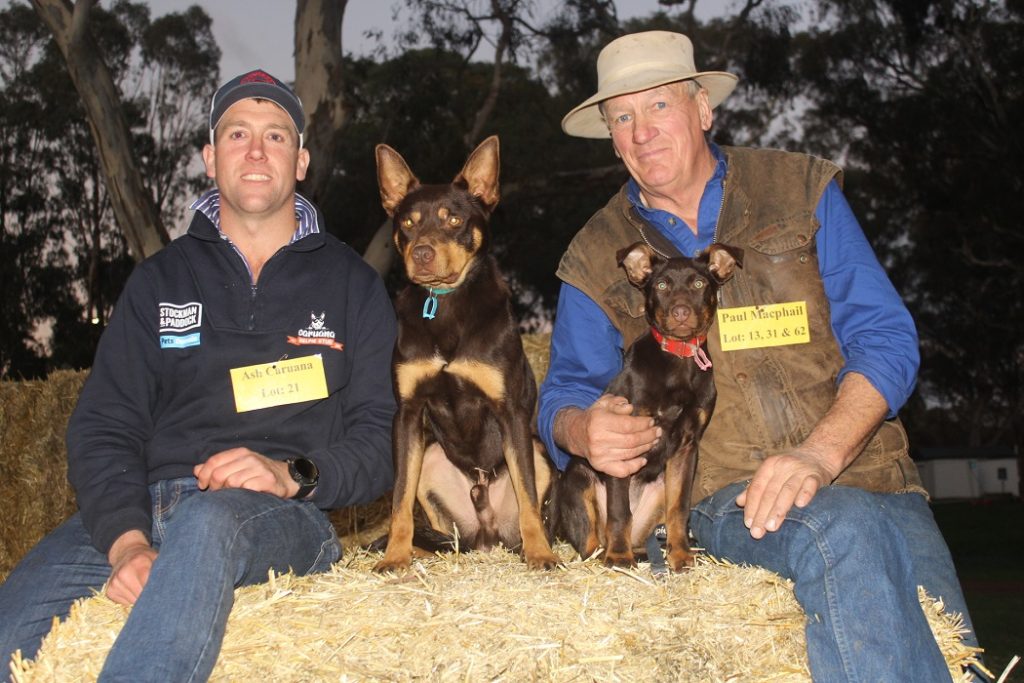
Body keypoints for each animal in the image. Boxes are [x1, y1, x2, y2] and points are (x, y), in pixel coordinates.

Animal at [372, 135, 561, 573]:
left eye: (454, 220)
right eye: (408, 224)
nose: (422, 254)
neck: (445, 303)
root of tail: (487, 531)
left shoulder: (509, 412)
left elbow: (528, 498)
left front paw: (541, 554)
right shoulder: (407, 415)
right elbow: (399, 501)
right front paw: (395, 556)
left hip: (539, 452)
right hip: (432, 458)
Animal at [552, 240, 745, 573]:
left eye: (699, 283)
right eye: (662, 285)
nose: (681, 312)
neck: (679, 358)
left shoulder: (686, 448)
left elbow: (679, 509)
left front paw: (680, 555)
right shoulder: (621, 441)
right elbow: (620, 511)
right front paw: (619, 558)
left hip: (658, 488)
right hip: (580, 479)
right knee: (591, 543)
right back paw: (607, 554)